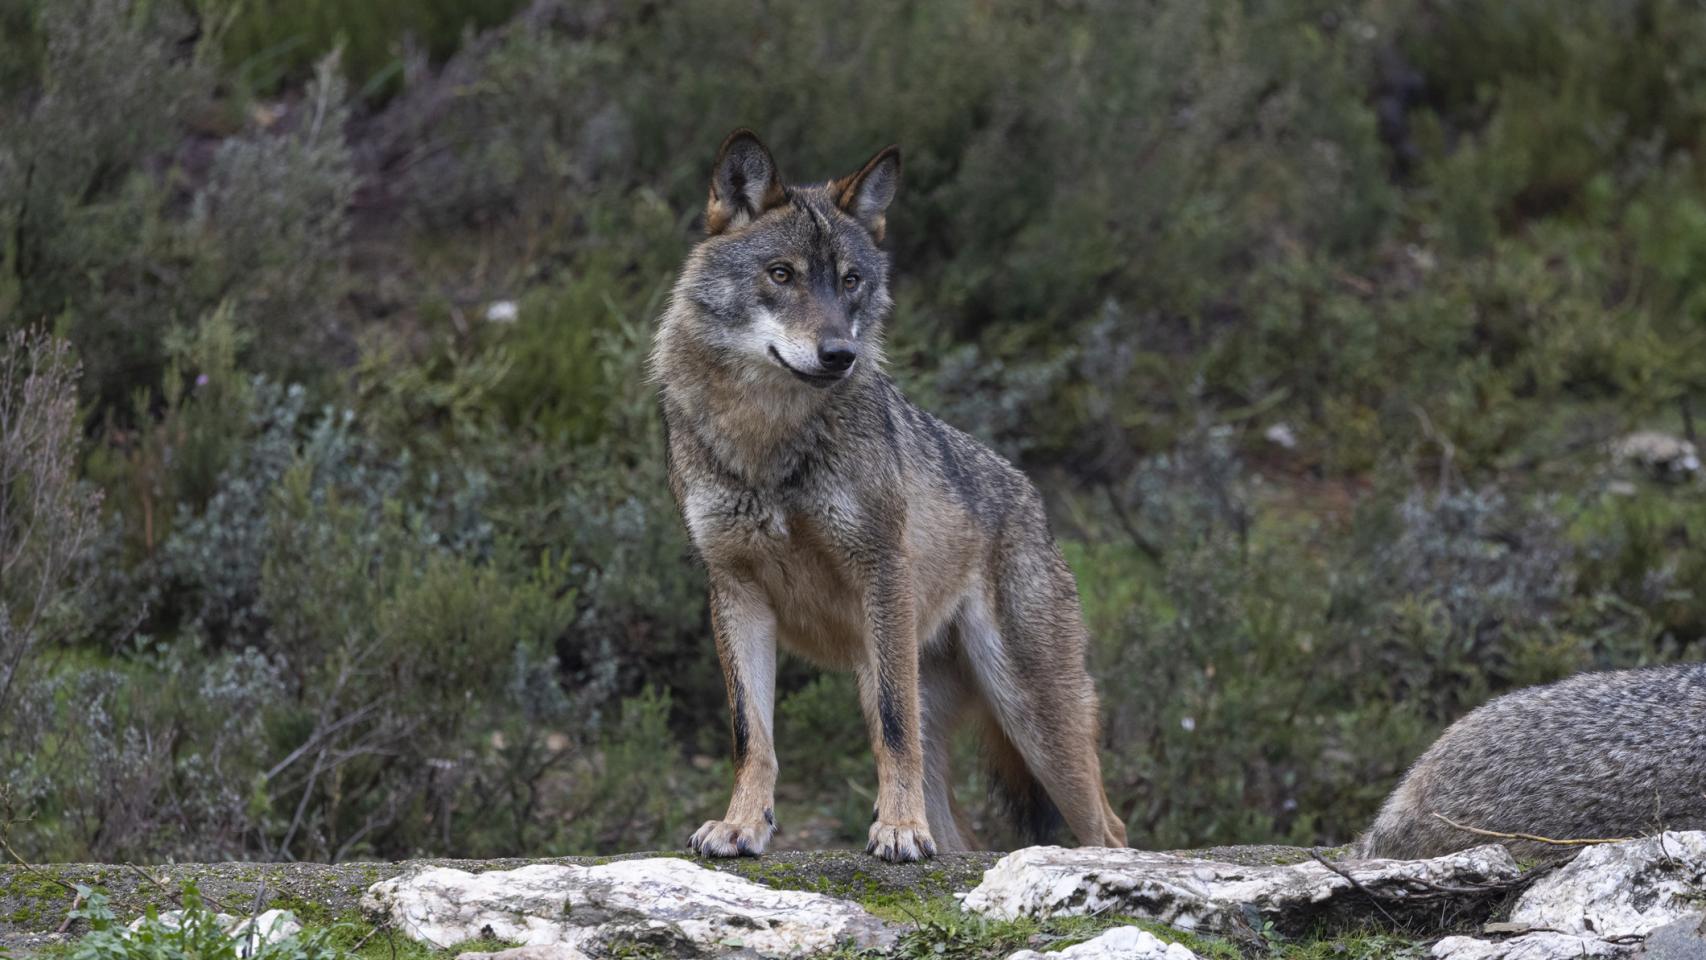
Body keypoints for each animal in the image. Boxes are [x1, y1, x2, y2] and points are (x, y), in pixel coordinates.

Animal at [644, 129, 1125, 862]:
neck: (767, 440)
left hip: (1030, 717)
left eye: (850, 281)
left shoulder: (881, 572)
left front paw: (896, 829)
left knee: (1108, 826)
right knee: (961, 836)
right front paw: (742, 825)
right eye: (781, 274)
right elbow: (751, 734)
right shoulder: (735, 590)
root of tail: (1029, 494)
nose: (839, 353)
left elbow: (894, 734)